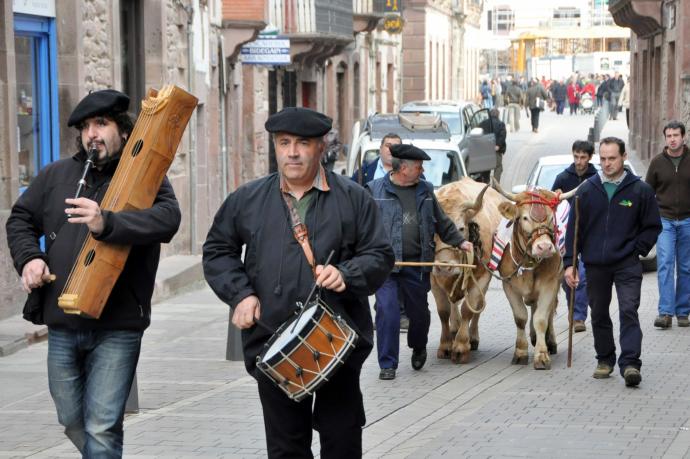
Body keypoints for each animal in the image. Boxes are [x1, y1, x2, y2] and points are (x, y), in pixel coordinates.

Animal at [430, 179, 500, 362]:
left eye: (461, 228)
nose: (444, 267)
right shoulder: (433, 280)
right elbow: (443, 311)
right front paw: (445, 345)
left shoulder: (481, 279)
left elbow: (469, 309)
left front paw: (461, 346)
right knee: (453, 303)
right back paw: (454, 328)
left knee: (478, 308)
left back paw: (472, 338)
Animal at [490, 179, 576, 370]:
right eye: (524, 218)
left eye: (551, 218)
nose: (544, 247)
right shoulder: (509, 286)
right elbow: (520, 317)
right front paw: (520, 352)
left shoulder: (549, 284)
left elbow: (541, 318)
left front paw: (541, 355)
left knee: (547, 311)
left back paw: (548, 341)